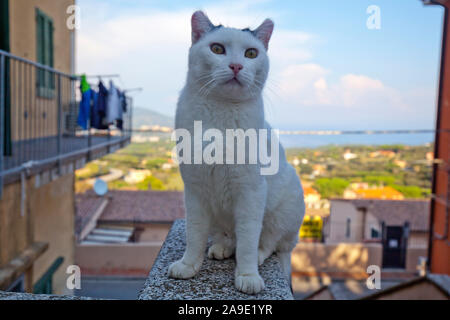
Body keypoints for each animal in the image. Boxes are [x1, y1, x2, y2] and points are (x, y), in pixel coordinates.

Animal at [169, 10, 306, 296]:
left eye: (251, 53)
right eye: (217, 49)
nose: (236, 66)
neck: (220, 116)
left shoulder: (251, 191)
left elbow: (247, 241)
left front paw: (247, 275)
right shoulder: (195, 189)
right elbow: (194, 234)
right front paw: (188, 265)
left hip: (285, 207)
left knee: (269, 243)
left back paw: (257, 256)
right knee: (228, 236)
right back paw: (221, 247)